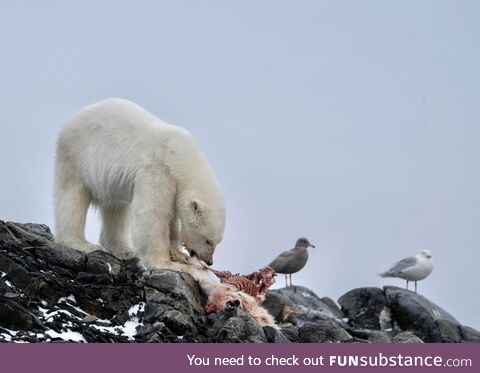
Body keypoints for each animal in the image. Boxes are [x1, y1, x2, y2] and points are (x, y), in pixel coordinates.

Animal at [53, 99, 226, 268]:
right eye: (208, 240)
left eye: (217, 241)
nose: (209, 261)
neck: (180, 157)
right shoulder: (158, 169)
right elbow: (153, 213)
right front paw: (163, 262)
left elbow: (171, 217)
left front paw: (178, 253)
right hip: (77, 156)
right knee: (72, 198)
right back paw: (81, 243)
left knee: (116, 209)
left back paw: (124, 251)